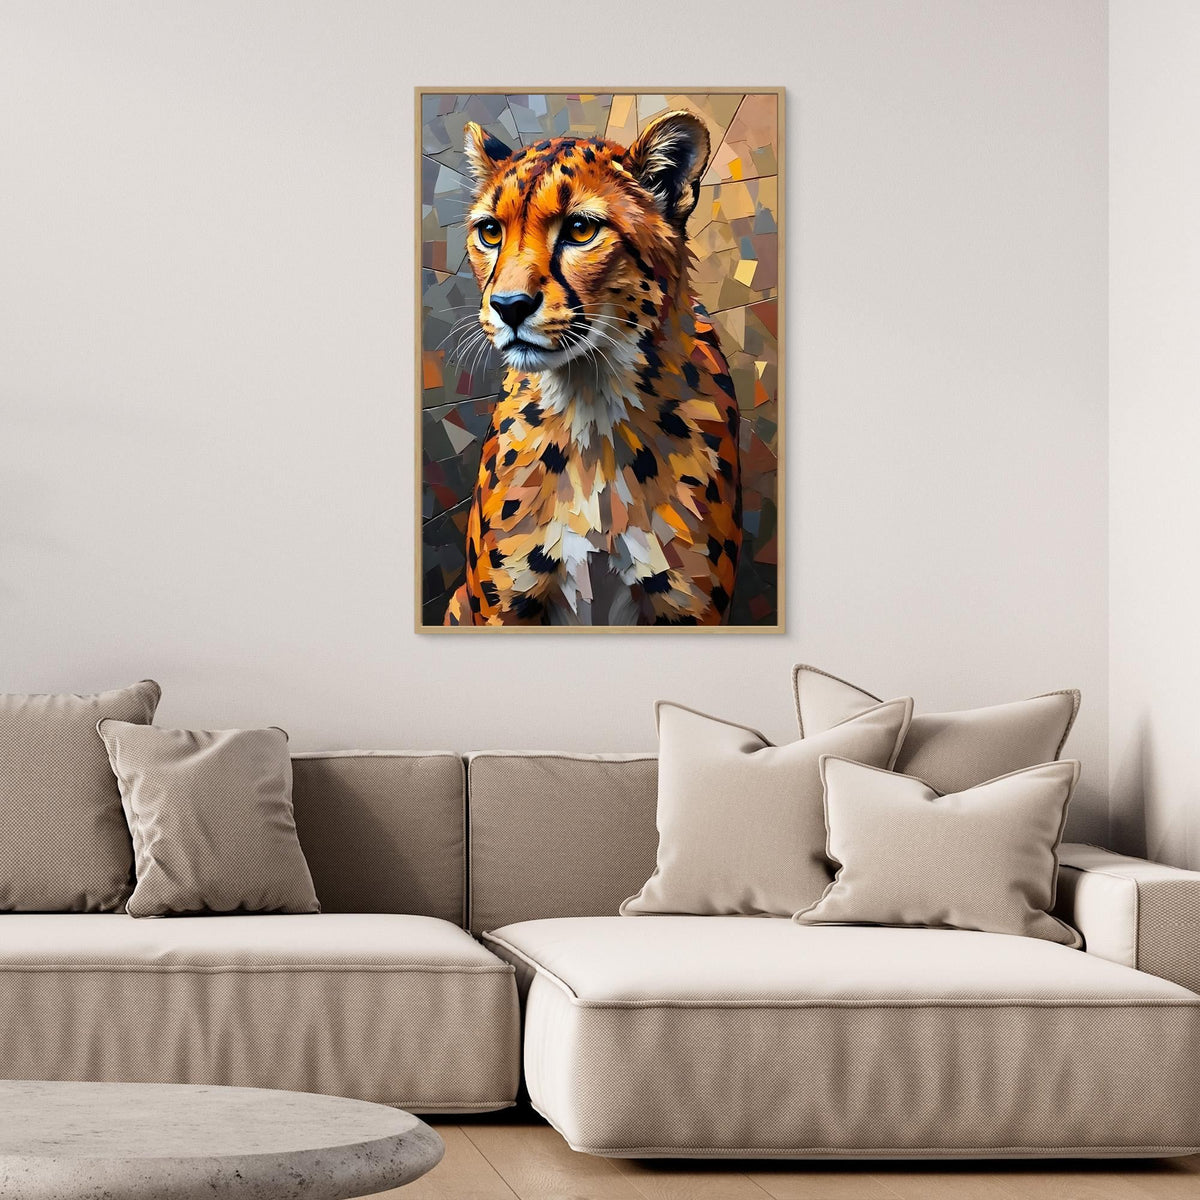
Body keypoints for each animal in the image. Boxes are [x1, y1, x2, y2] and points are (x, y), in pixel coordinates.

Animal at [443, 109, 741, 626]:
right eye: (490, 232)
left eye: (581, 229)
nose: (509, 306)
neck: (590, 398)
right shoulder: (503, 608)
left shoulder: (689, 608)